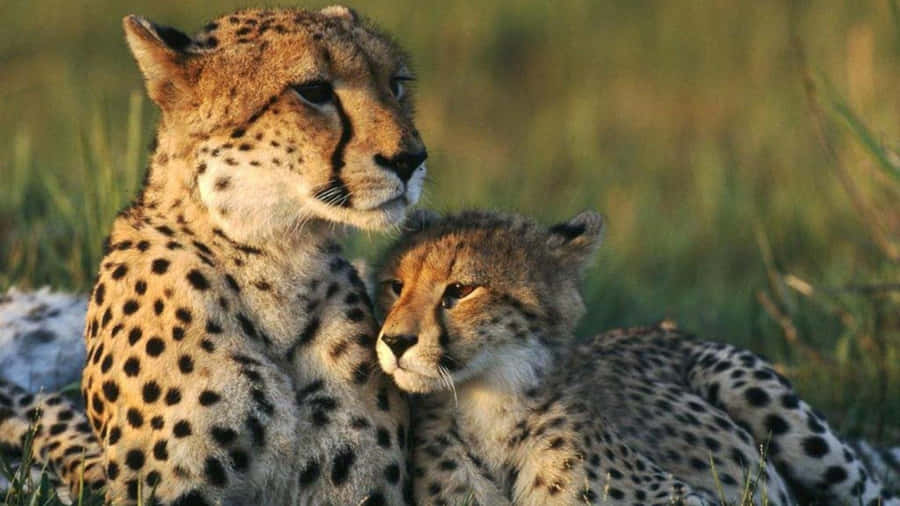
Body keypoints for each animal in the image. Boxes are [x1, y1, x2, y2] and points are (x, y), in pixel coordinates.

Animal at [372, 209, 899, 506]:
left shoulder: (693, 499)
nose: (394, 341)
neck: (485, 404)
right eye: (395, 286)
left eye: (460, 290)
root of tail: (663, 327)